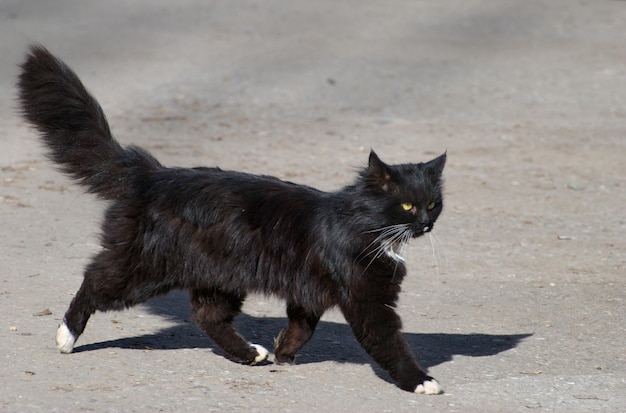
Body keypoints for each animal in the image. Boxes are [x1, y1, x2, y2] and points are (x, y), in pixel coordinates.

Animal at [17, 45, 446, 392]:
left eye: (433, 203)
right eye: (407, 206)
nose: (426, 223)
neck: (364, 225)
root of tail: (153, 174)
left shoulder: (308, 292)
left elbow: (301, 326)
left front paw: (283, 352)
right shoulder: (366, 299)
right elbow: (388, 342)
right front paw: (420, 380)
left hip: (220, 276)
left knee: (207, 316)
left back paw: (250, 354)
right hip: (145, 269)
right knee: (94, 280)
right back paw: (66, 336)